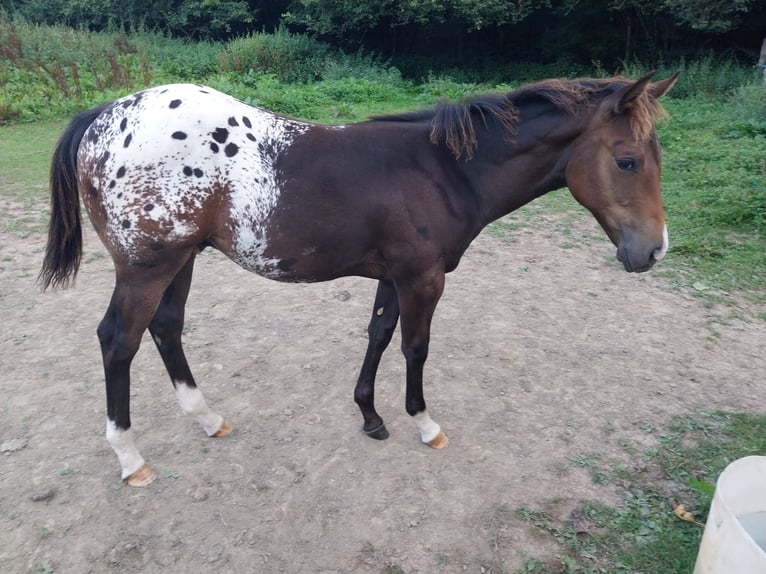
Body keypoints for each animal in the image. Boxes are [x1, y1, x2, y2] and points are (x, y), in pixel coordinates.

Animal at [39, 71, 680, 486]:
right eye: (627, 161)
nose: (652, 251)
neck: (443, 170)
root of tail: (102, 117)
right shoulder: (423, 279)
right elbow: (415, 347)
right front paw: (423, 423)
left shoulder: (392, 276)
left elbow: (377, 335)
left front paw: (370, 416)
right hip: (148, 266)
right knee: (118, 340)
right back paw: (131, 459)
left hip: (182, 259)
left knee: (166, 328)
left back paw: (208, 419)